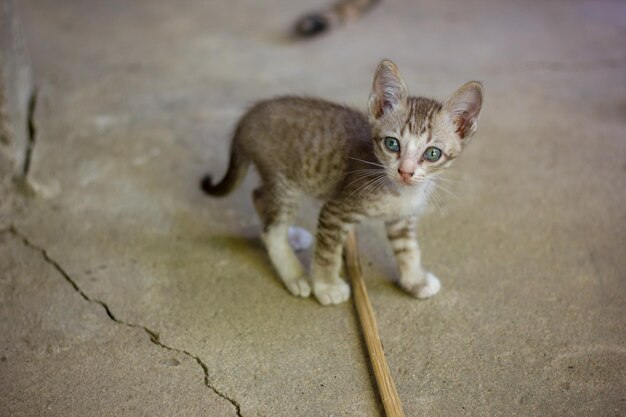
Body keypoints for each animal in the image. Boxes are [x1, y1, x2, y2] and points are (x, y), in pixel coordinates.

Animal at [201, 60, 482, 304]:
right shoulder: (336, 210)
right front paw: (326, 286)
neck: (400, 192)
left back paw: (291, 237)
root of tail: (250, 115)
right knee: (271, 230)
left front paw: (414, 280)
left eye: (432, 153)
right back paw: (295, 274)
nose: (405, 171)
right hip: (286, 182)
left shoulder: (402, 219)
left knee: (259, 195)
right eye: (392, 144)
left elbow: (408, 249)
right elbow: (328, 253)